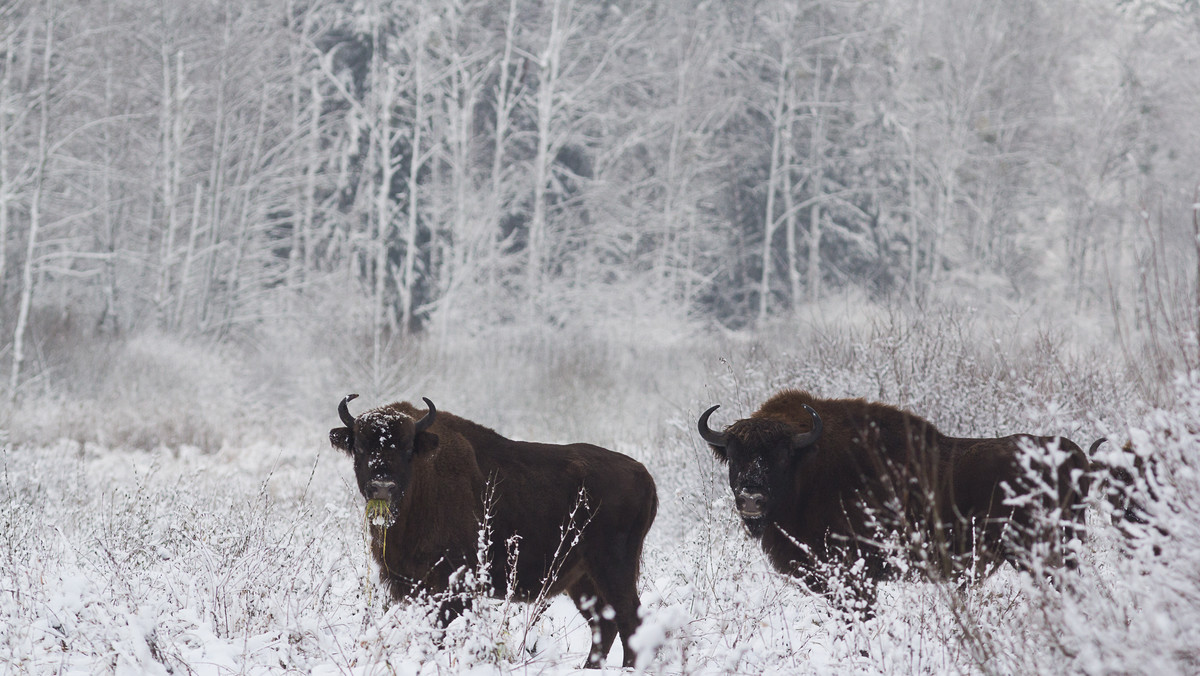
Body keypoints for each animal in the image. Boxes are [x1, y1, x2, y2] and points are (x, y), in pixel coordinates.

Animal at [328, 393, 657, 667]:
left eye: (408, 448)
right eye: (359, 446)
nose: (382, 487)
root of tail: (644, 475)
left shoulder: (452, 584)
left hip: (612, 568)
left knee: (629, 619)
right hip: (582, 579)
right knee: (605, 622)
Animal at [700, 386, 1104, 614]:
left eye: (782, 455)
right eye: (733, 455)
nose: (751, 499)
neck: (809, 466)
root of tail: (1072, 455)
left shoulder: (855, 575)